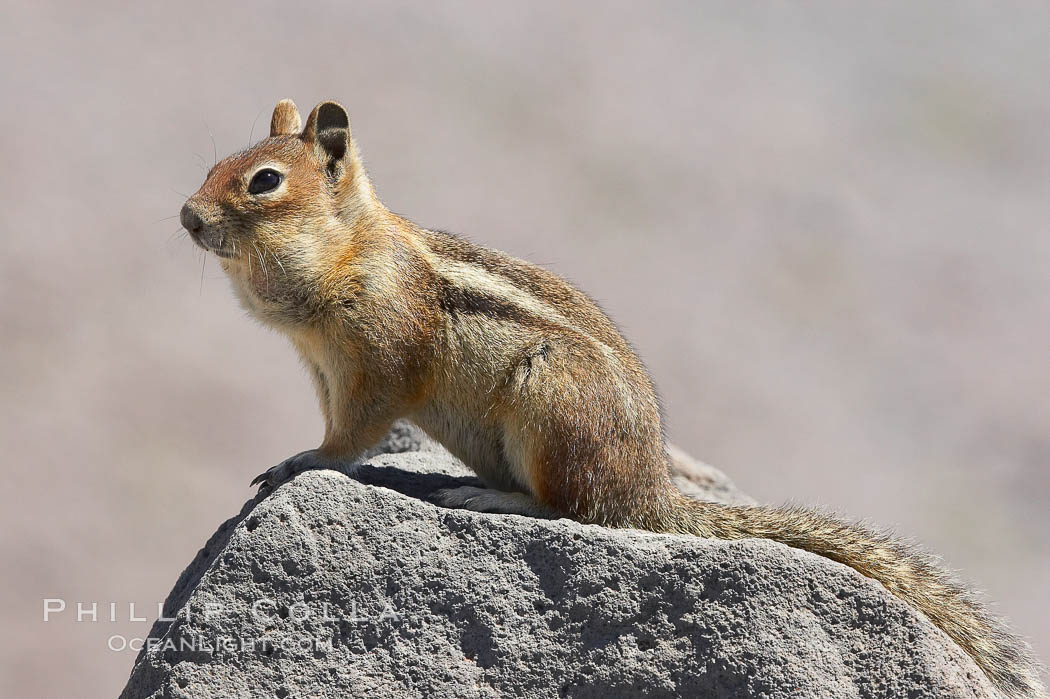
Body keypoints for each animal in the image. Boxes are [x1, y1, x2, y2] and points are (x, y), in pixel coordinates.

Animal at [178, 99, 1041, 696]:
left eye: (263, 182)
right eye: (222, 162)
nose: (187, 215)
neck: (344, 252)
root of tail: (652, 491)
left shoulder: (378, 363)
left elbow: (351, 434)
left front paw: (303, 460)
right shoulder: (323, 368)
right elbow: (337, 425)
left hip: (551, 406)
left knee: (576, 508)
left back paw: (493, 498)